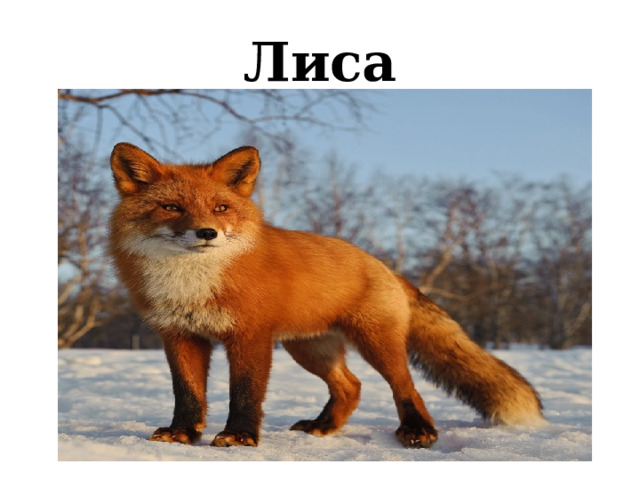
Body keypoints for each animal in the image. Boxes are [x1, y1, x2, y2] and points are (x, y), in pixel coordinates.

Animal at [108, 142, 545, 449]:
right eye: (171, 207)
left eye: (220, 208)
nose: (207, 233)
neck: (190, 284)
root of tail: (382, 264)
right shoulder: (179, 336)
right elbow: (187, 394)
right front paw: (182, 434)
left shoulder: (250, 336)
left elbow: (245, 392)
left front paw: (240, 437)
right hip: (310, 349)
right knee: (350, 386)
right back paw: (324, 426)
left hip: (375, 344)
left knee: (405, 386)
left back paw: (418, 430)